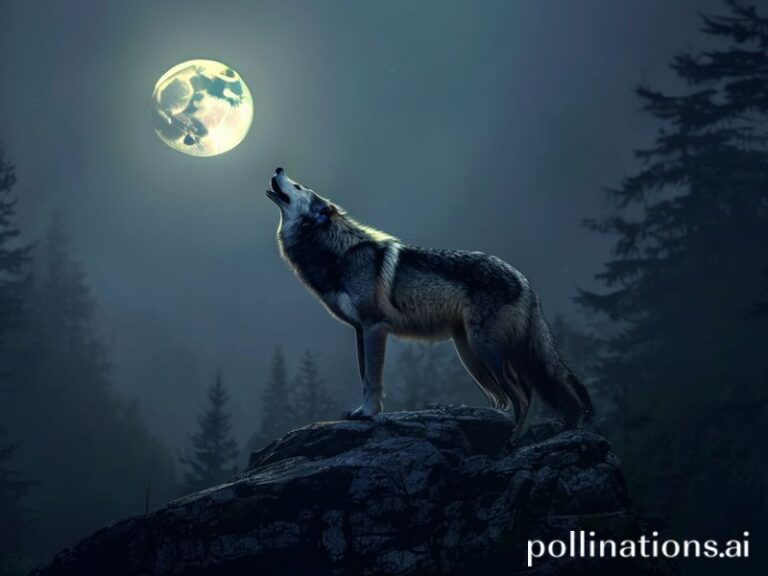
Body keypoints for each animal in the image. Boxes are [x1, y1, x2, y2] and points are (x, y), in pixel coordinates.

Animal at [266, 167, 593, 433]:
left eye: (298, 186)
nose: (278, 168)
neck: (338, 253)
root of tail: (525, 281)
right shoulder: (360, 331)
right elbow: (363, 377)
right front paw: (361, 411)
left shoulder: (374, 327)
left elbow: (373, 380)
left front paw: (369, 414)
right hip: (472, 356)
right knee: (505, 398)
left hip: (487, 350)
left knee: (523, 396)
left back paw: (513, 441)